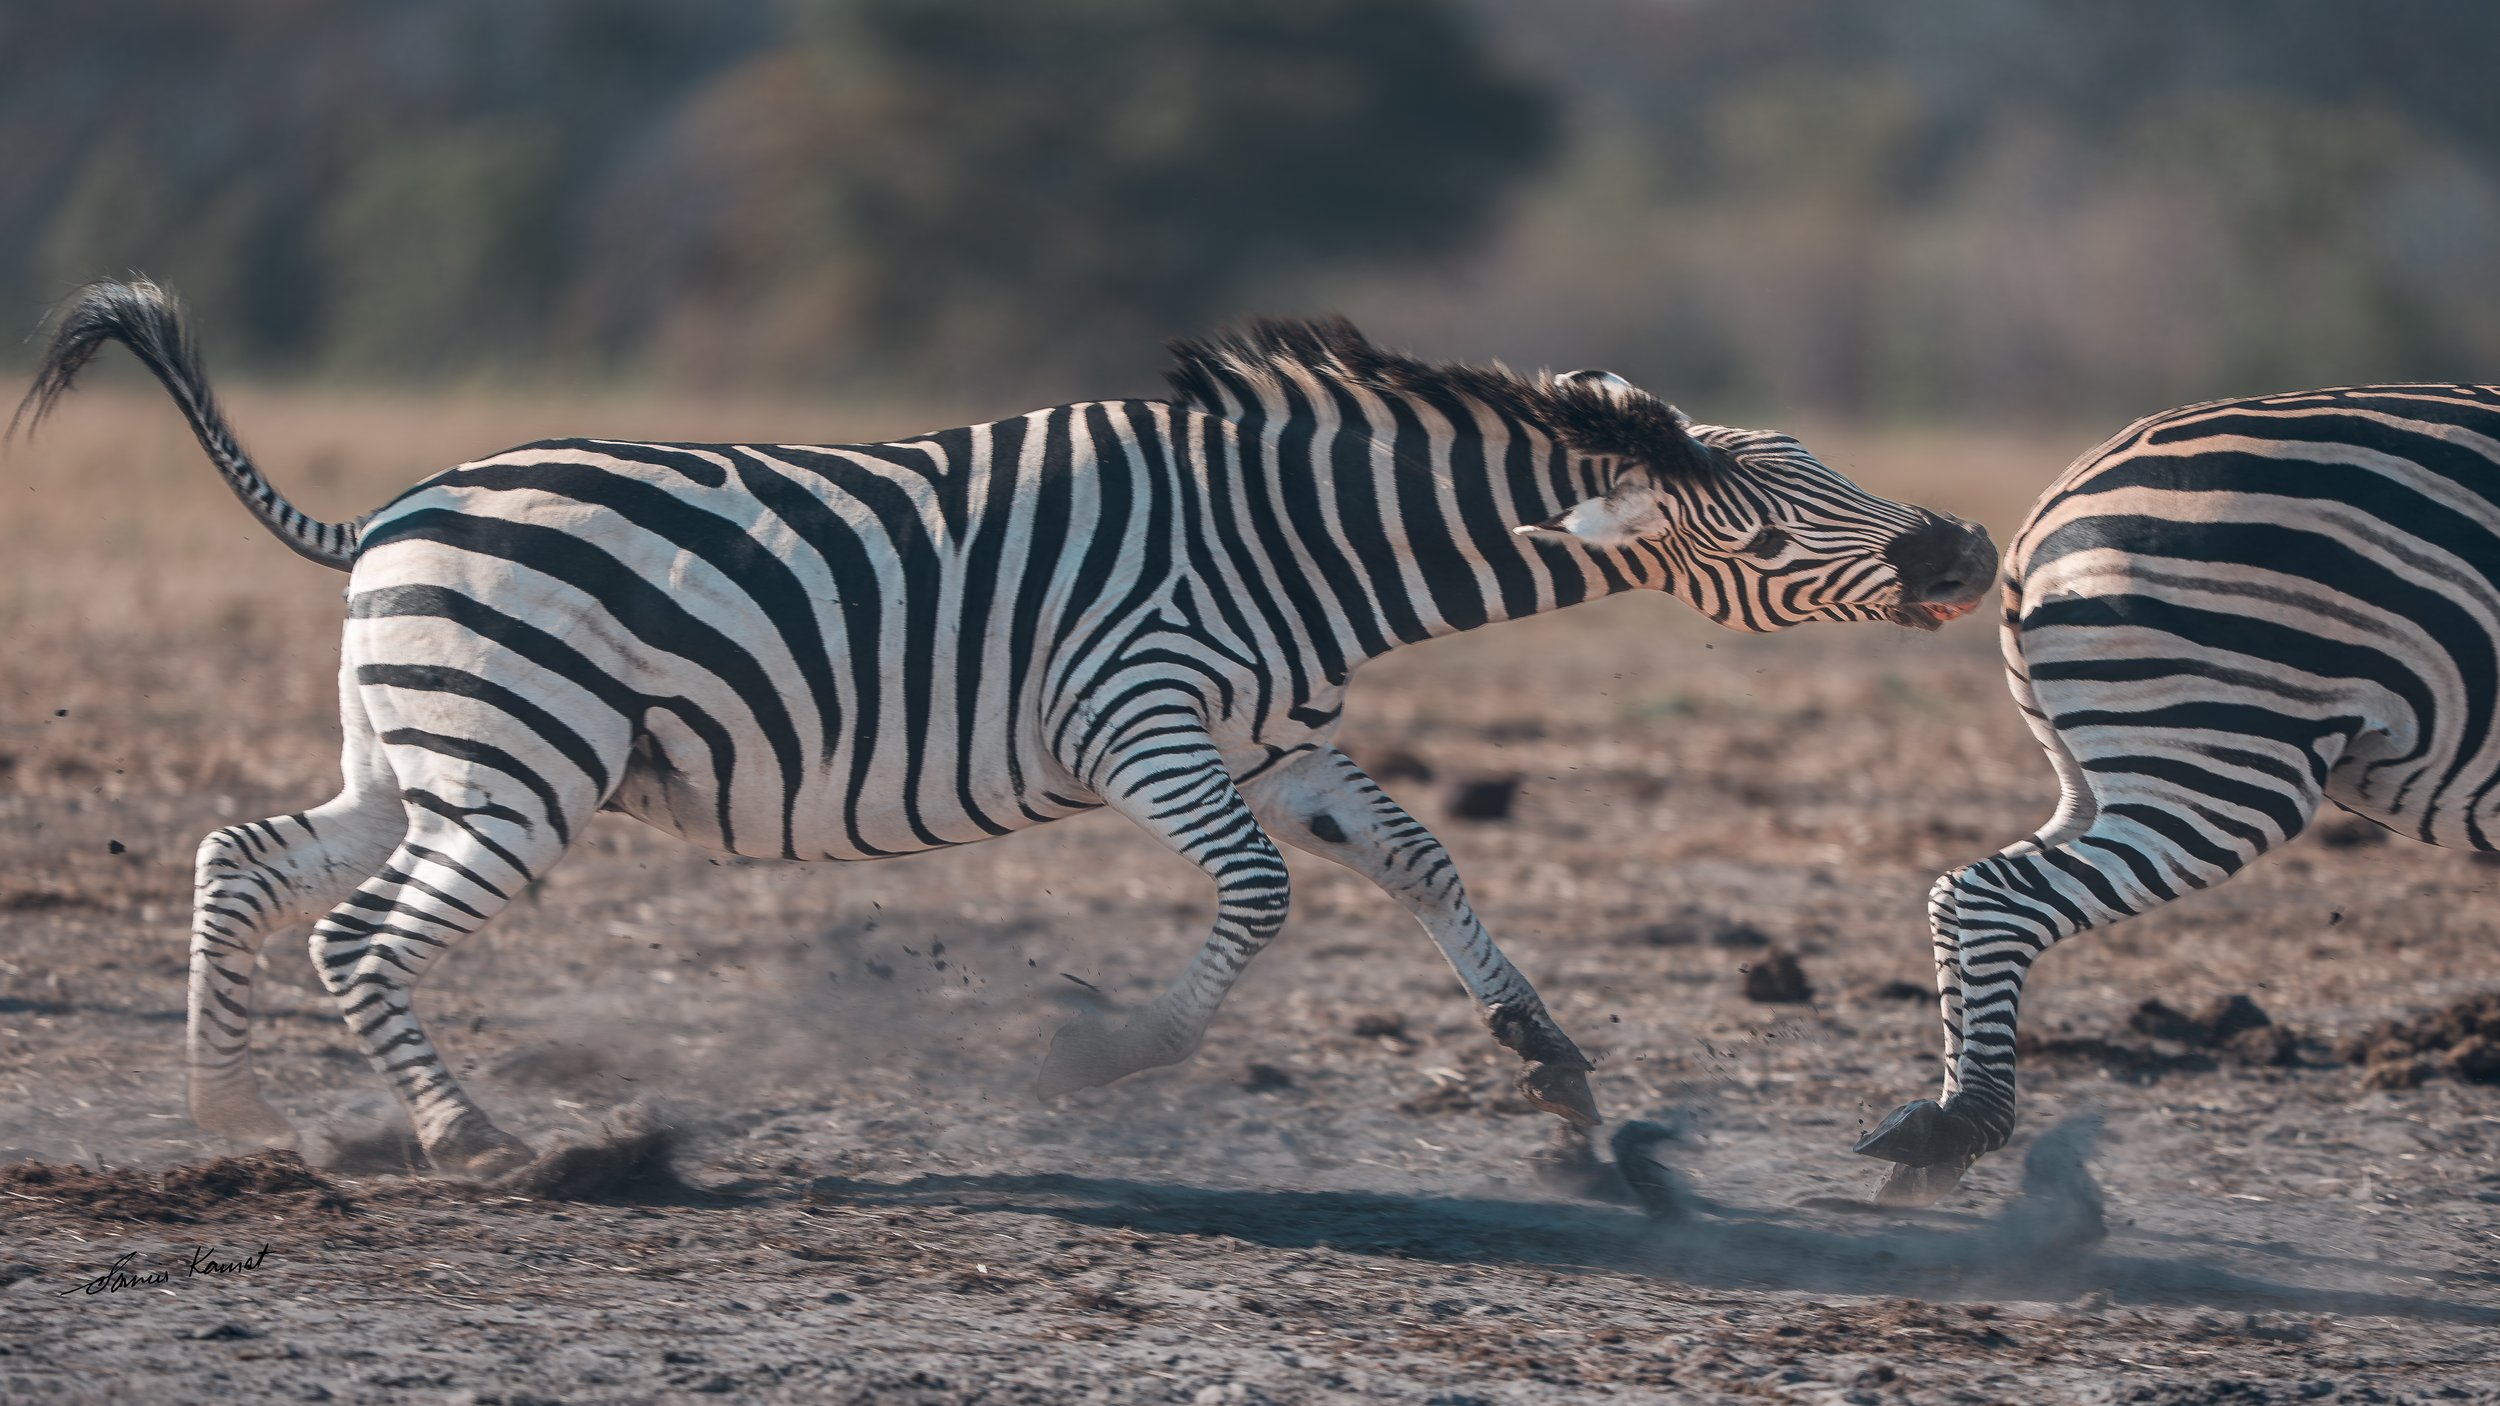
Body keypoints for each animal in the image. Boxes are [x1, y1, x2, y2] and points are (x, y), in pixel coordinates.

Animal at [16, 280, 1995, 1178]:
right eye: (1765, 528)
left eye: (1818, 469)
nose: (1969, 547)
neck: (1304, 547)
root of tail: (394, 509)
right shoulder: (1141, 722)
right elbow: (1262, 903)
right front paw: (1097, 1057)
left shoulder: (1282, 740)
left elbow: (1427, 859)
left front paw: (1558, 1069)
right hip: (517, 769)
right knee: (357, 928)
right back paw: (465, 1134)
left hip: (420, 753)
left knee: (245, 856)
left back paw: (225, 1106)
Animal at [1857, 383, 2500, 1204]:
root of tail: (2050, 503)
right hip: (2220, 754)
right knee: (1996, 898)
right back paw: (1961, 1125)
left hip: (2105, 766)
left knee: (1957, 891)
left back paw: (1937, 1127)